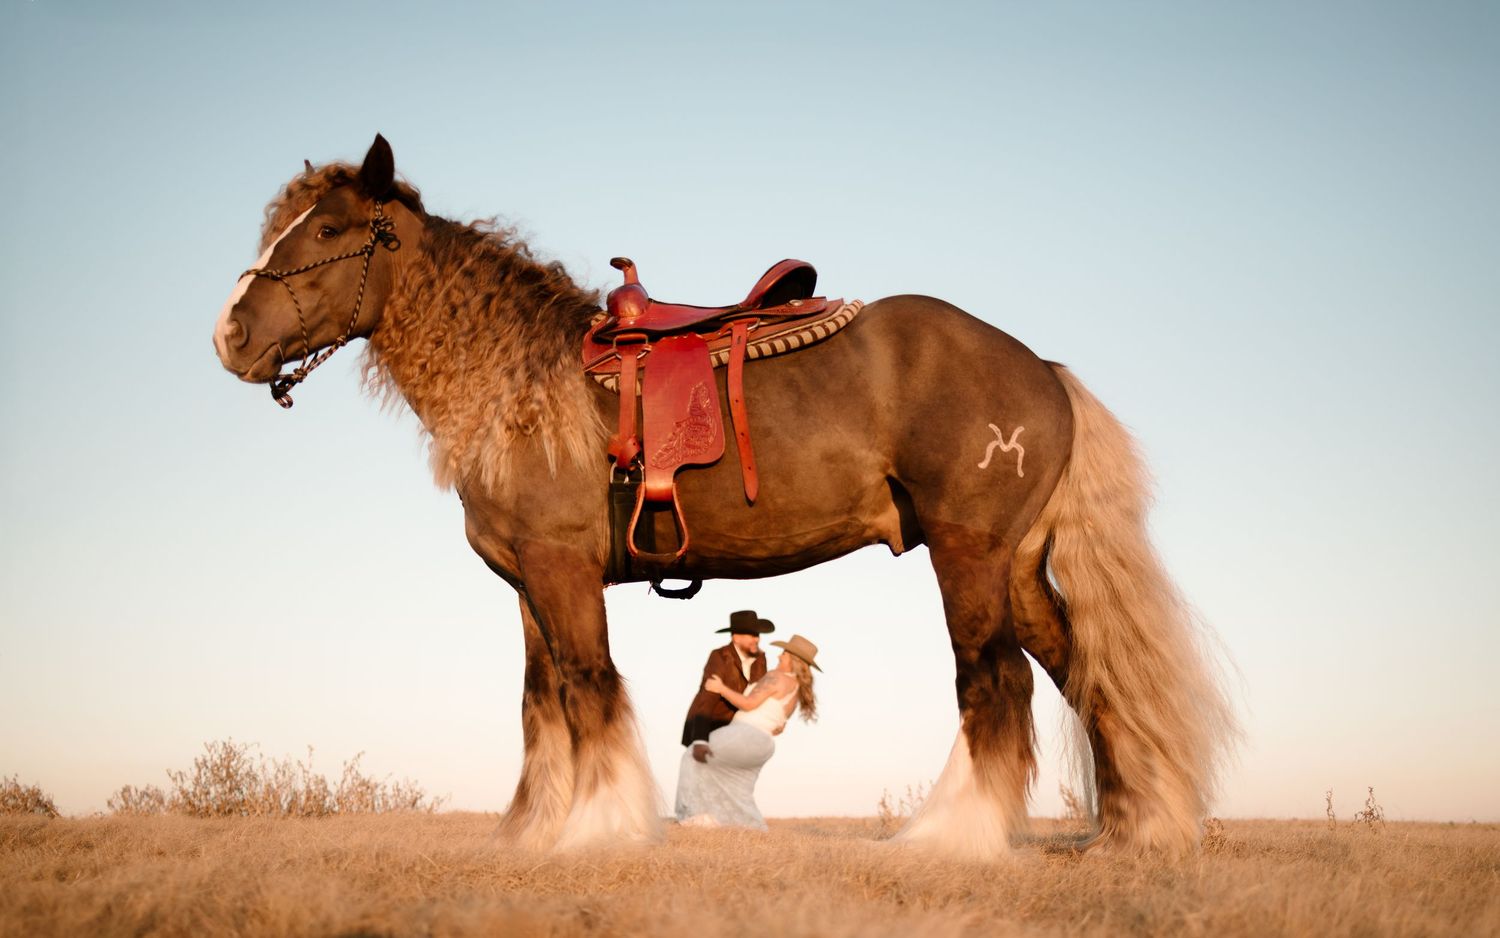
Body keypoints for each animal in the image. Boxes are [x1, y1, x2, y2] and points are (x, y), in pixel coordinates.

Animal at [212, 135, 1235, 858]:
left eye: (332, 231)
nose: (229, 335)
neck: (527, 386)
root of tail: (1042, 369)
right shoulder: (528, 585)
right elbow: (542, 706)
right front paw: (533, 833)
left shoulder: (562, 572)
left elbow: (590, 689)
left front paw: (596, 832)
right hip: (1019, 566)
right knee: (1081, 671)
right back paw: (1129, 833)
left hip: (970, 556)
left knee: (996, 684)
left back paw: (956, 841)